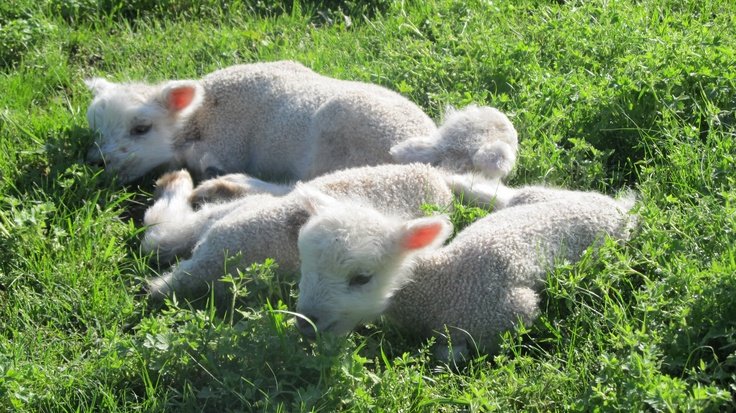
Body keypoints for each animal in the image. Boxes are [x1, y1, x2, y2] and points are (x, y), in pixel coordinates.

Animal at [294, 185, 636, 357]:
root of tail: (617, 207)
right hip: (534, 196)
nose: (305, 322)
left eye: (362, 278)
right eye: (304, 264)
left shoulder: (509, 311)